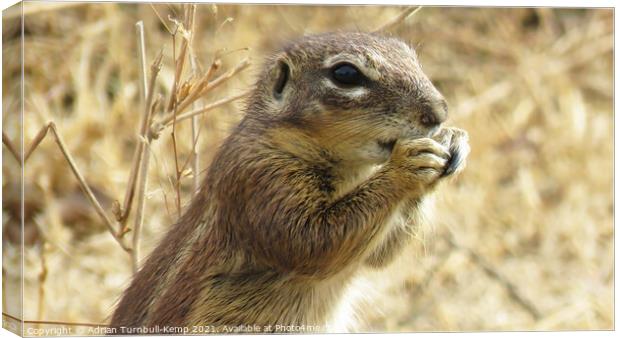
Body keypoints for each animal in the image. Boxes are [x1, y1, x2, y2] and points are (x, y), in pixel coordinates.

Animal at [110, 31, 470, 332]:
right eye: (346, 74)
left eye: (412, 57)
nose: (439, 112)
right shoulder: (258, 180)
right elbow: (310, 241)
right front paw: (405, 164)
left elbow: (380, 255)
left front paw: (453, 141)